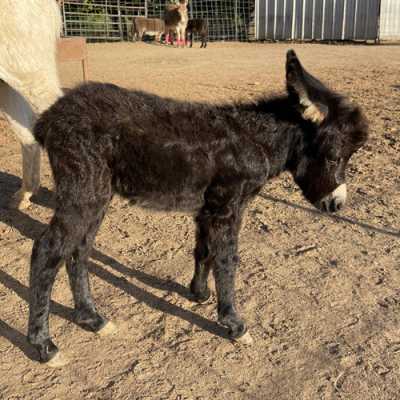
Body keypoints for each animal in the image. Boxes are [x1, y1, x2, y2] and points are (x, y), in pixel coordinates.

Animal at [28, 50, 368, 366]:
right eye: (335, 157)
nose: (337, 205)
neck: (256, 142)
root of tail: (50, 117)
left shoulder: (209, 209)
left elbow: (204, 251)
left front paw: (199, 293)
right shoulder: (229, 207)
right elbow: (227, 260)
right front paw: (234, 323)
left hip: (98, 194)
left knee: (78, 250)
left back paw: (92, 319)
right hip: (82, 190)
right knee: (47, 250)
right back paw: (44, 345)